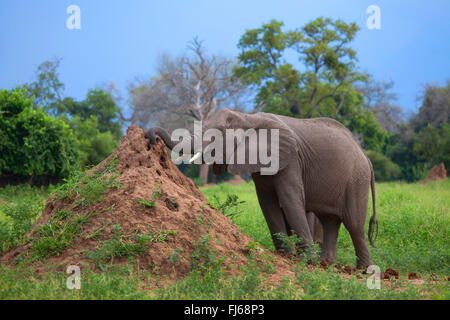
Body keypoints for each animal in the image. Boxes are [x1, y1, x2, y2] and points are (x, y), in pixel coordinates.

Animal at [147, 109, 376, 268]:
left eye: (217, 134)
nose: (151, 138)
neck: (247, 117)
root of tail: (365, 156)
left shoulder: (290, 159)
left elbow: (290, 200)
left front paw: (306, 261)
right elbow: (268, 204)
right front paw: (286, 256)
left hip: (357, 180)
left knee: (354, 225)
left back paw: (362, 271)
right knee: (330, 220)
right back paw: (327, 264)